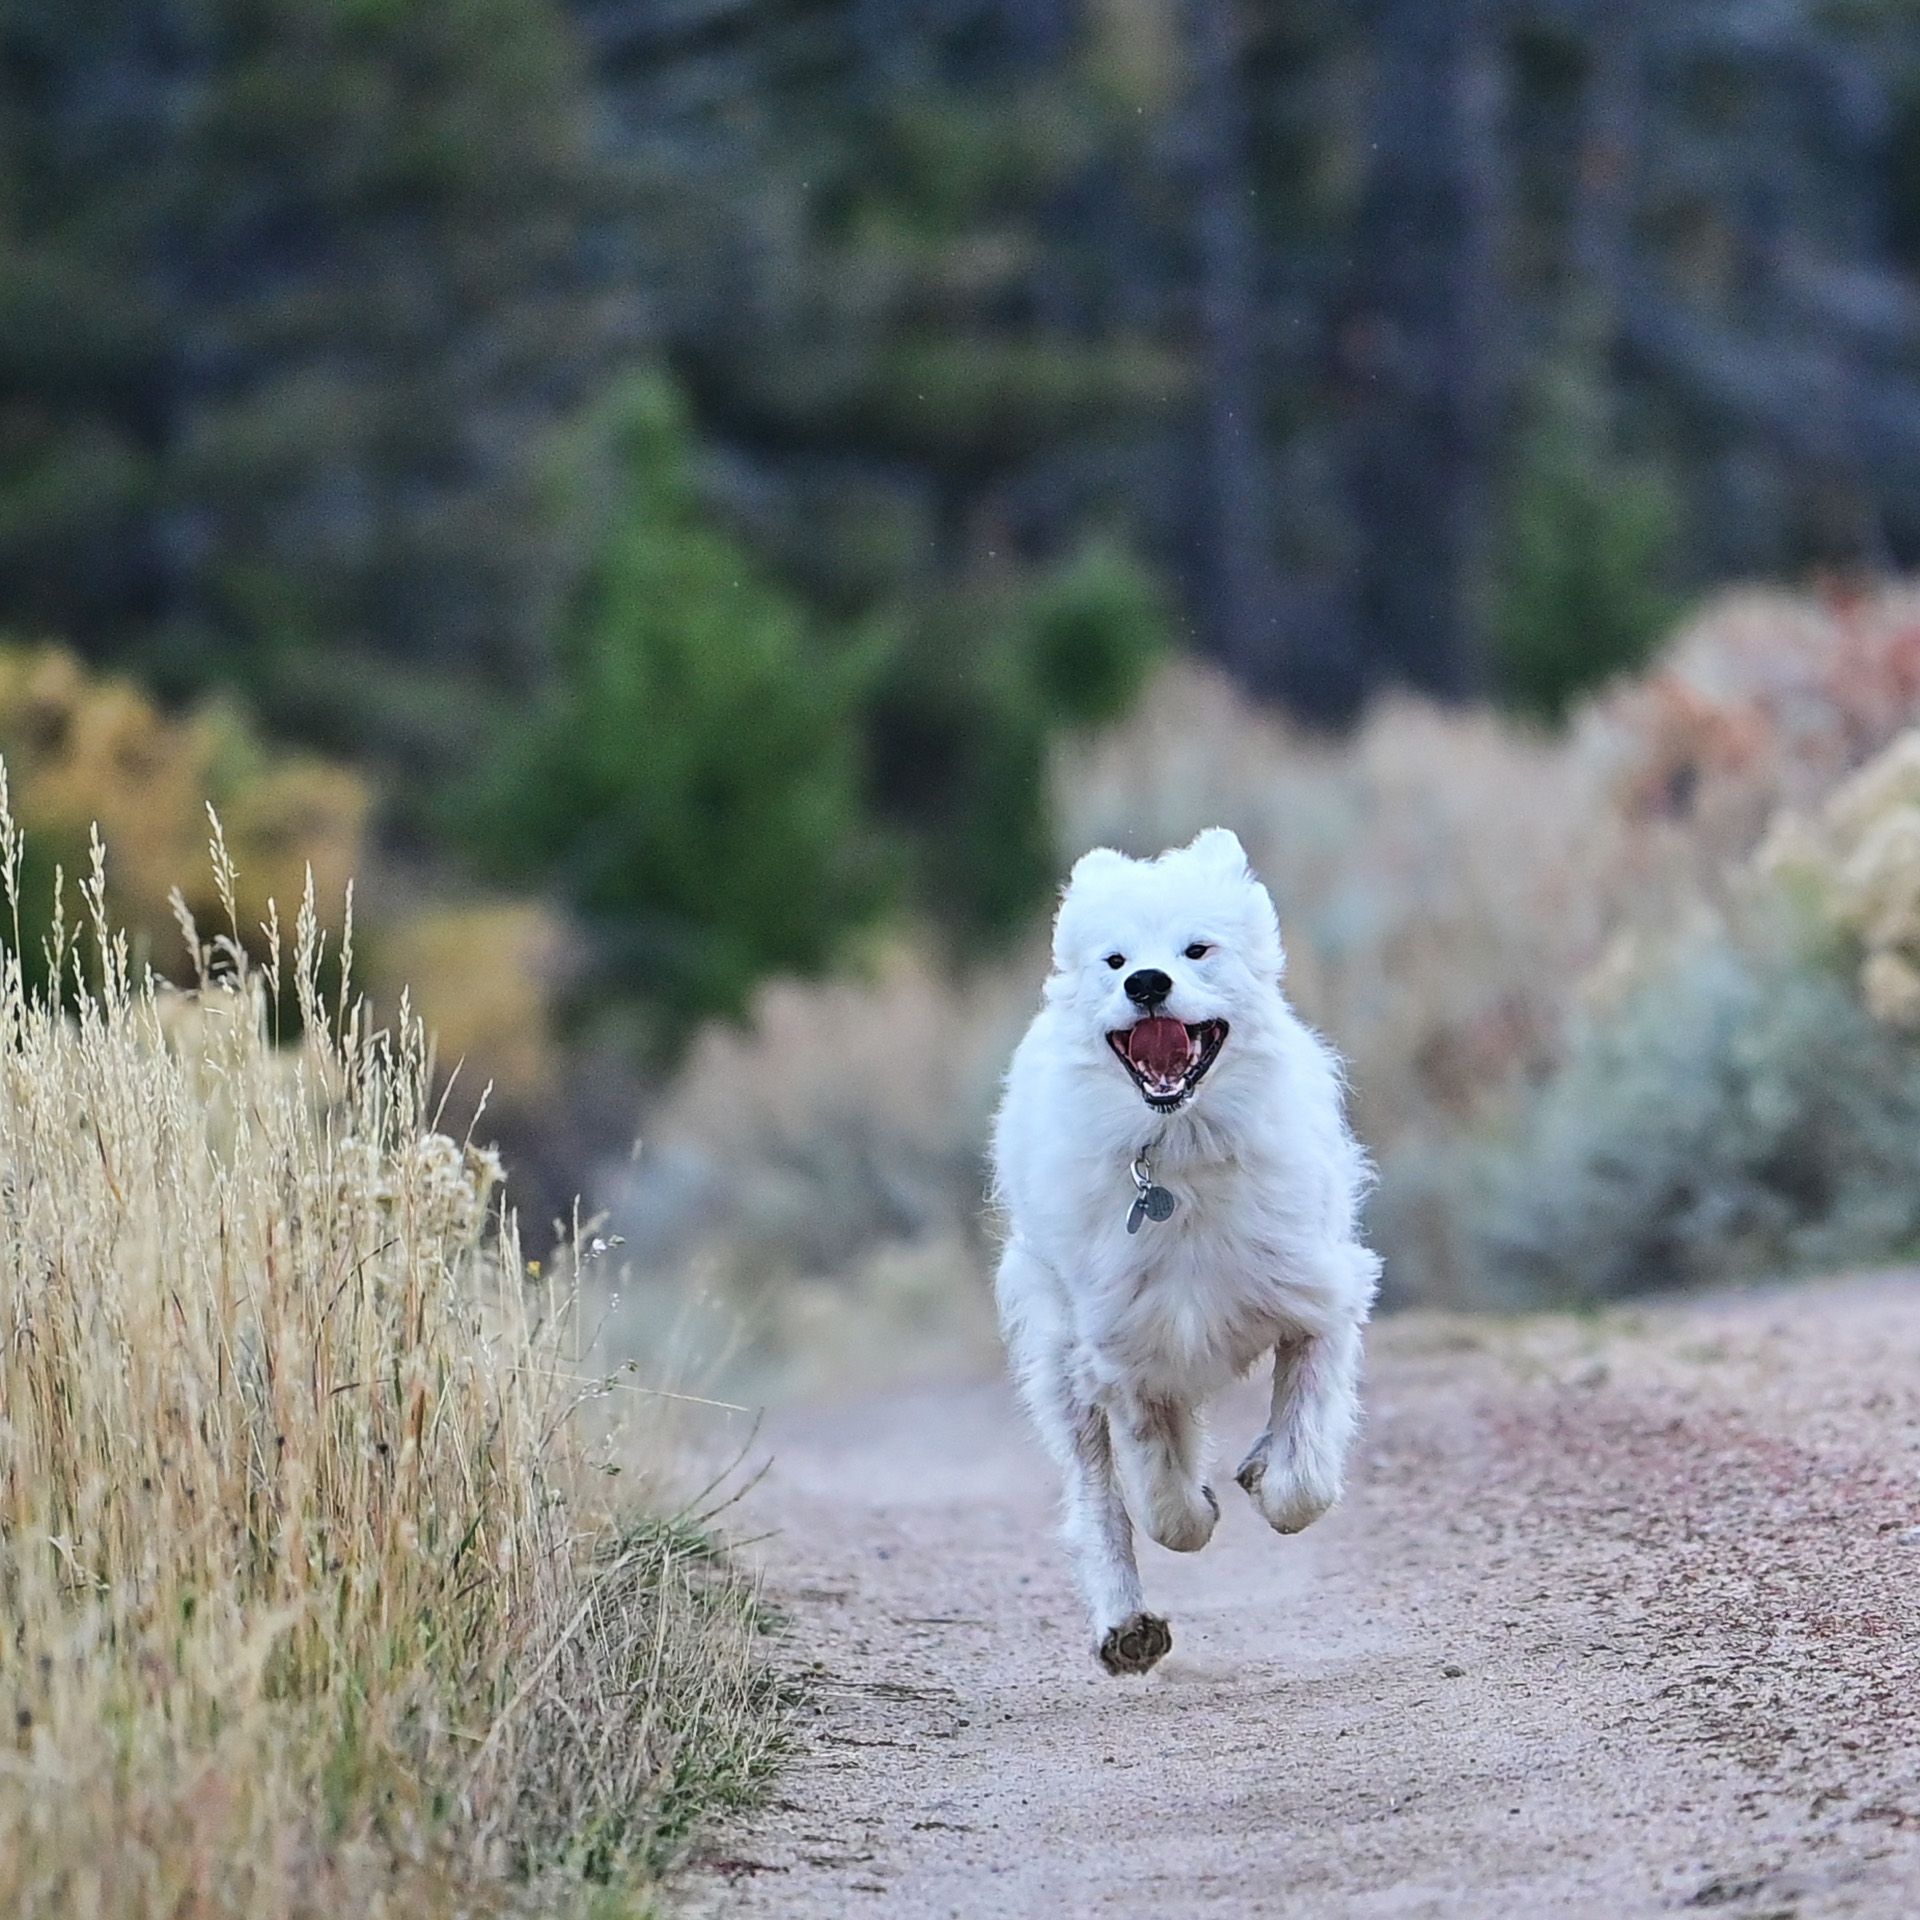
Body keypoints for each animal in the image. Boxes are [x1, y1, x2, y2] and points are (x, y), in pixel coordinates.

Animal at [990, 833, 1382, 1674]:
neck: (1178, 1155)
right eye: (1113, 961)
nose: (1145, 982)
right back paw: (1126, 1627)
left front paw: (1268, 1477)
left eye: (1198, 950)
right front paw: (1192, 1510)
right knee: (1098, 1498)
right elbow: (1157, 1491)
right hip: (1057, 1362)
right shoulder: (1120, 1350)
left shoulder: (1318, 1302)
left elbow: (1305, 1463)